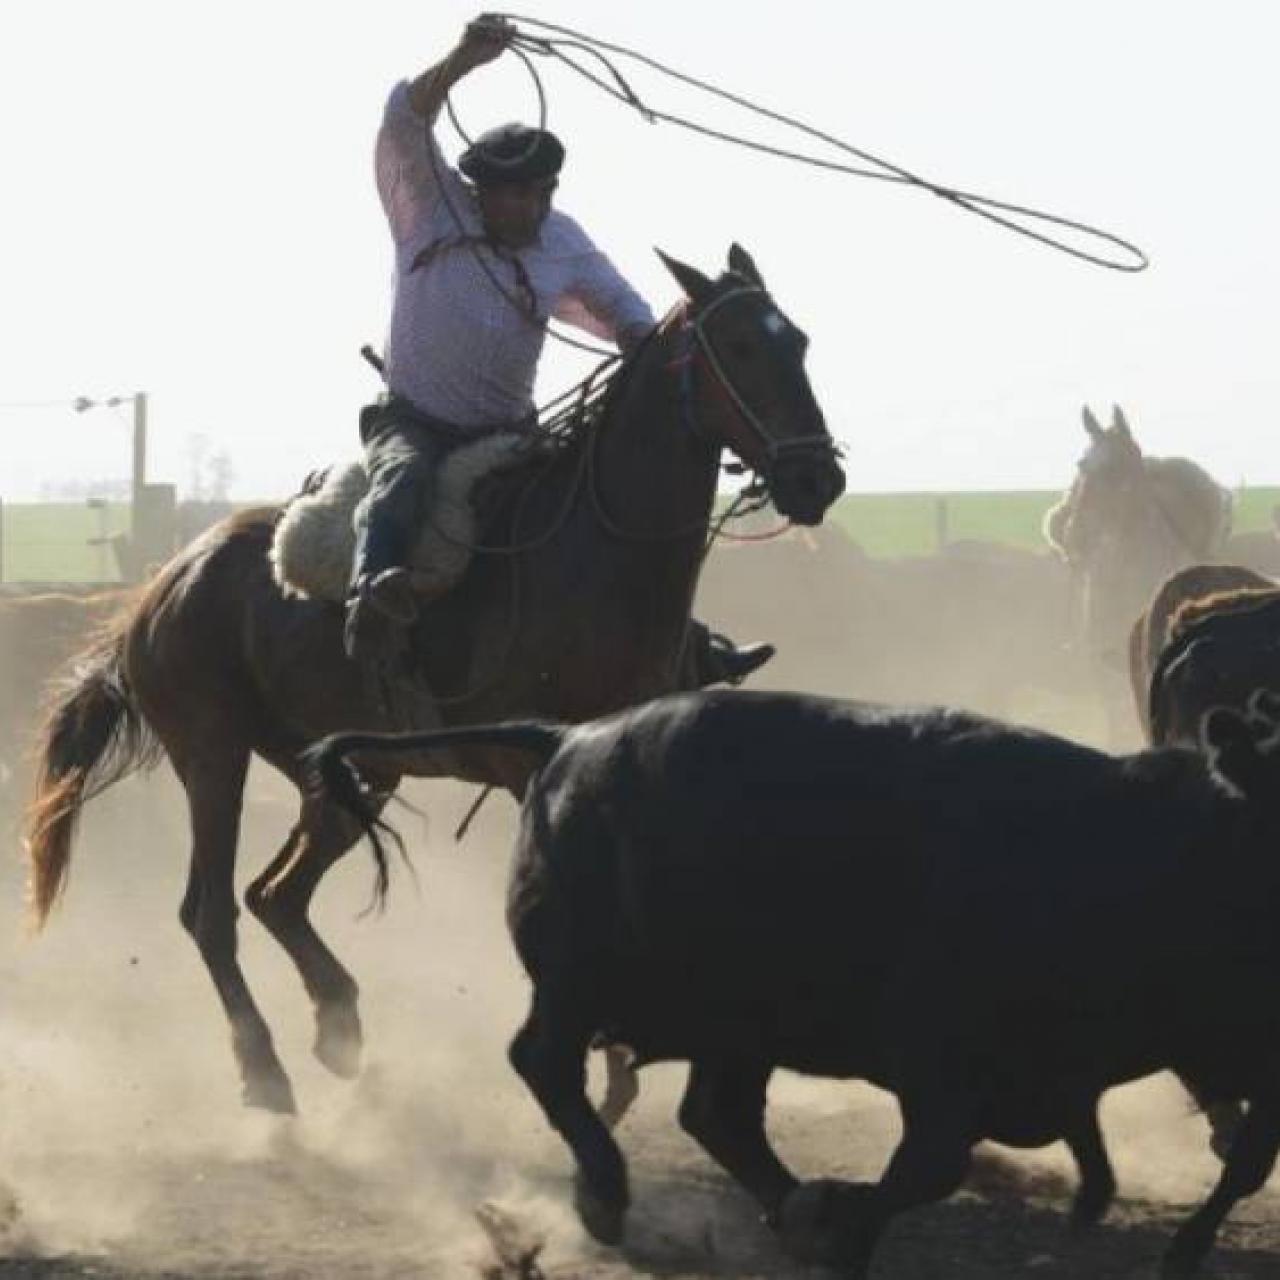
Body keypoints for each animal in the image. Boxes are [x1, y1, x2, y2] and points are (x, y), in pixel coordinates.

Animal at [24, 244, 844, 1116]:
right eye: (743, 347)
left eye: (797, 341)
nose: (816, 480)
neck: (591, 556)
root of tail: (162, 587)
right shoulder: (530, 769)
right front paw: (611, 1063)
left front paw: (626, 1062)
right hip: (213, 754)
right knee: (210, 913)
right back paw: (267, 1073)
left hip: (345, 773)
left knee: (274, 895)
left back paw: (340, 1028)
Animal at [307, 691, 1280, 1280]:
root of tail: (568, 739)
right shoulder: (941, 1064)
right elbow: (928, 1166)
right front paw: (840, 1220)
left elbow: (1235, 1159)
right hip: (584, 983)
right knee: (547, 1063)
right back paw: (610, 1197)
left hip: (733, 1024)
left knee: (717, 1114)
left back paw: (772, 1206)